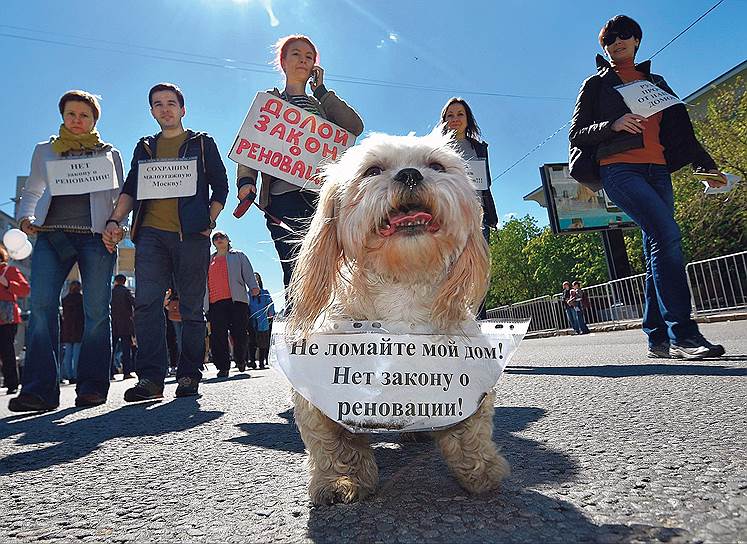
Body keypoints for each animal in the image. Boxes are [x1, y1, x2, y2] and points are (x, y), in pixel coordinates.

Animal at [286, 132, 508, 506]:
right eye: (372, 170)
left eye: (436, 166)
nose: (410, 174)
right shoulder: (319, 390)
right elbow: (333, 444)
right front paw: (341, 480)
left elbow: (471, 432)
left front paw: (481, 470)